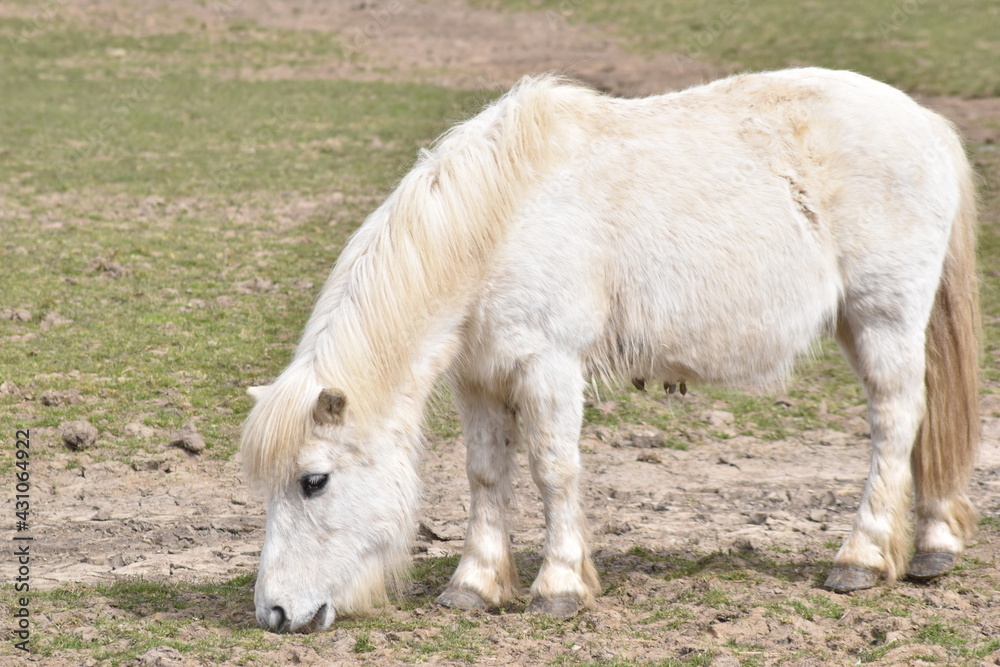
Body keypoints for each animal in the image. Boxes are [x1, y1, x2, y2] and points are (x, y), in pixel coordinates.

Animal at [239, 68, 980, 633]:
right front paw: (474, 585)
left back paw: (861, 559)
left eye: (313, 480)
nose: (274, 613)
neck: (499, 221)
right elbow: (486, 474)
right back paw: (932, 546)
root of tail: (927, 124)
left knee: (895, 422)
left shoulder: (548, 368)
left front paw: (559, 587)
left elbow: (553, 469)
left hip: (884, 316)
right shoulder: (478, 379)